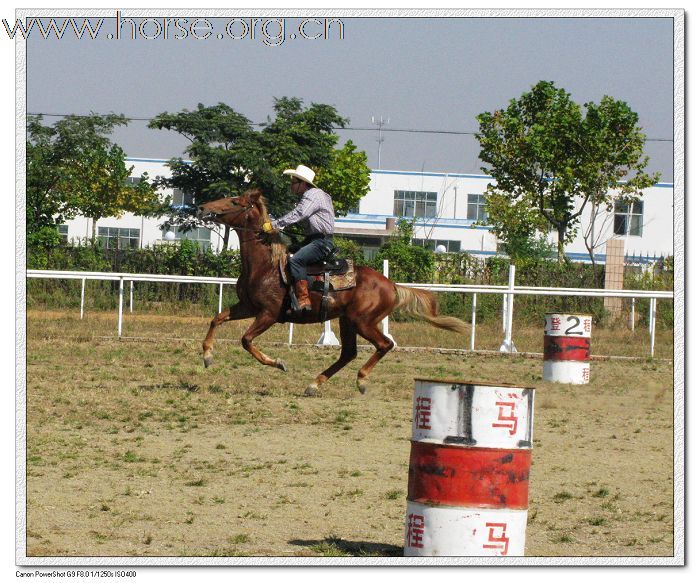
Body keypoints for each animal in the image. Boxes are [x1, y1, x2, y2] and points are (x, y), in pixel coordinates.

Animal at [198, 188, 470, 396]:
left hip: (362, 321)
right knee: (349, 353)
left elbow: (246, 340)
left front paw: (278, 363)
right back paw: (314, 384)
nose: (202, 207)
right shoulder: (247, 307)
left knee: (385, 344)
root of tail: (391, 285)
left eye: (235, 202)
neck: (266, 266)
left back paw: (360, 380)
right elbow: (216, 319)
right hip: (347, 321)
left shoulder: (268, 314)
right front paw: (207, 356)